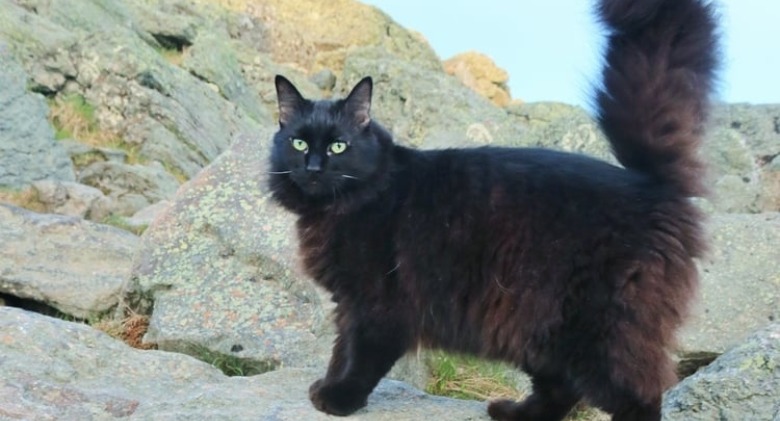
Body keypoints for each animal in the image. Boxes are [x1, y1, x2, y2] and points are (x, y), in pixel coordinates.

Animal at [266, 0, 720, 416]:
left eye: (338, 146)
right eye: (299, 142)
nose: (313, 168)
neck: (342, 207)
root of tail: (649, 183)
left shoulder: (377, 303)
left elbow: (360, 357)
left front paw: (339, 399)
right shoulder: (348, 303)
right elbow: (340, 350)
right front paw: (327, 386)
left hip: (599, 330)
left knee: (638, 395)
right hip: (539, 331)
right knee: (562, 391)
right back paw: (514, 413)